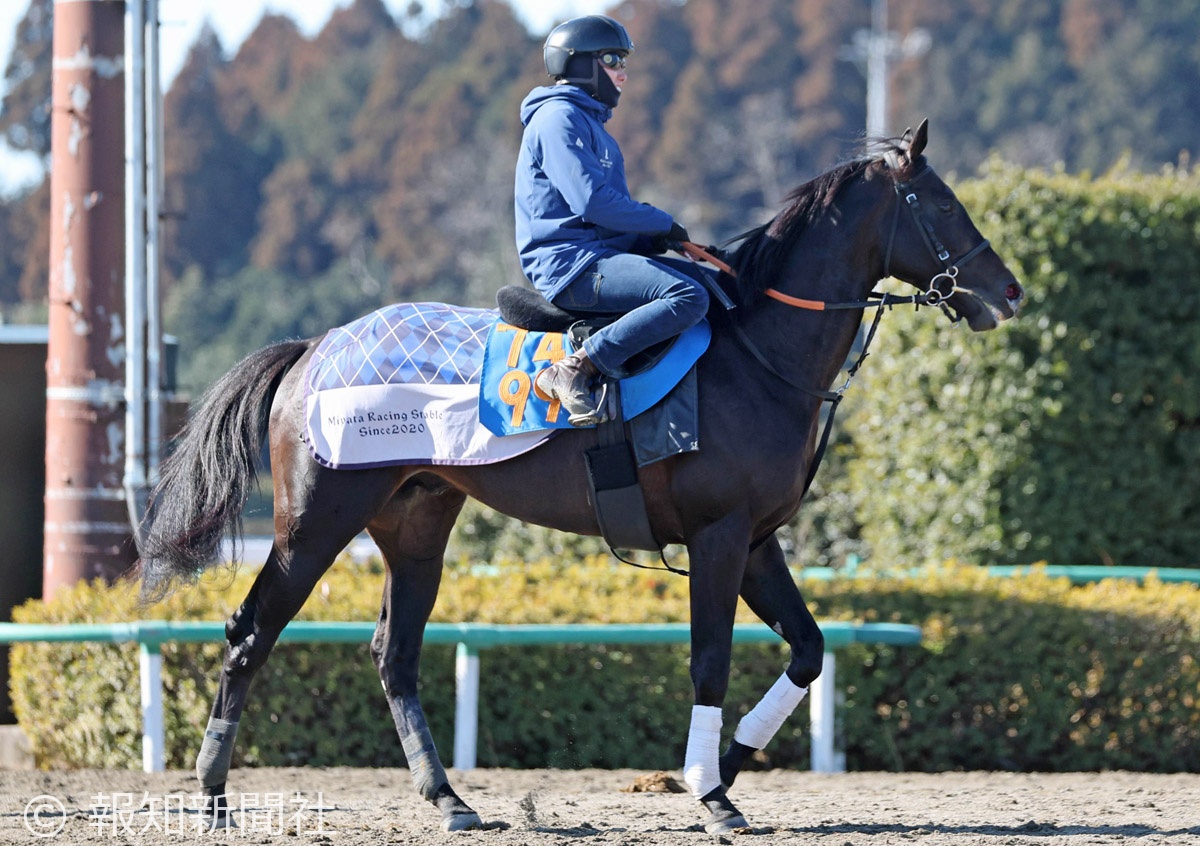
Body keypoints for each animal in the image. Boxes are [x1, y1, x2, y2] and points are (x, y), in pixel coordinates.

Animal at [138, 122, 1022, 835]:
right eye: (942, 203)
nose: (1008, 291)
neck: (754, 353)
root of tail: (315, 347)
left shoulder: (758, 541)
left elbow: (807, 648)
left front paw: (723, 766)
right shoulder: (719, 537)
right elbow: (710, 658)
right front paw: (711, 792)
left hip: (416, 526)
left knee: (395, 654)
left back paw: (449, 799)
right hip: (315, 522)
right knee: (252, 632)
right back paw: (213, 794)